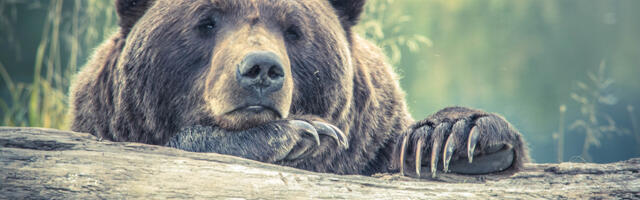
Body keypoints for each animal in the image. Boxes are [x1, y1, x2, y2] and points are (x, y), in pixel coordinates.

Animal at [71, 0, 528, 178]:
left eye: (293, 30)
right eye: (206, 20)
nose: (261, 69)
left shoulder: (372, 142)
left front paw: (452, 137)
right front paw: (300, 133)